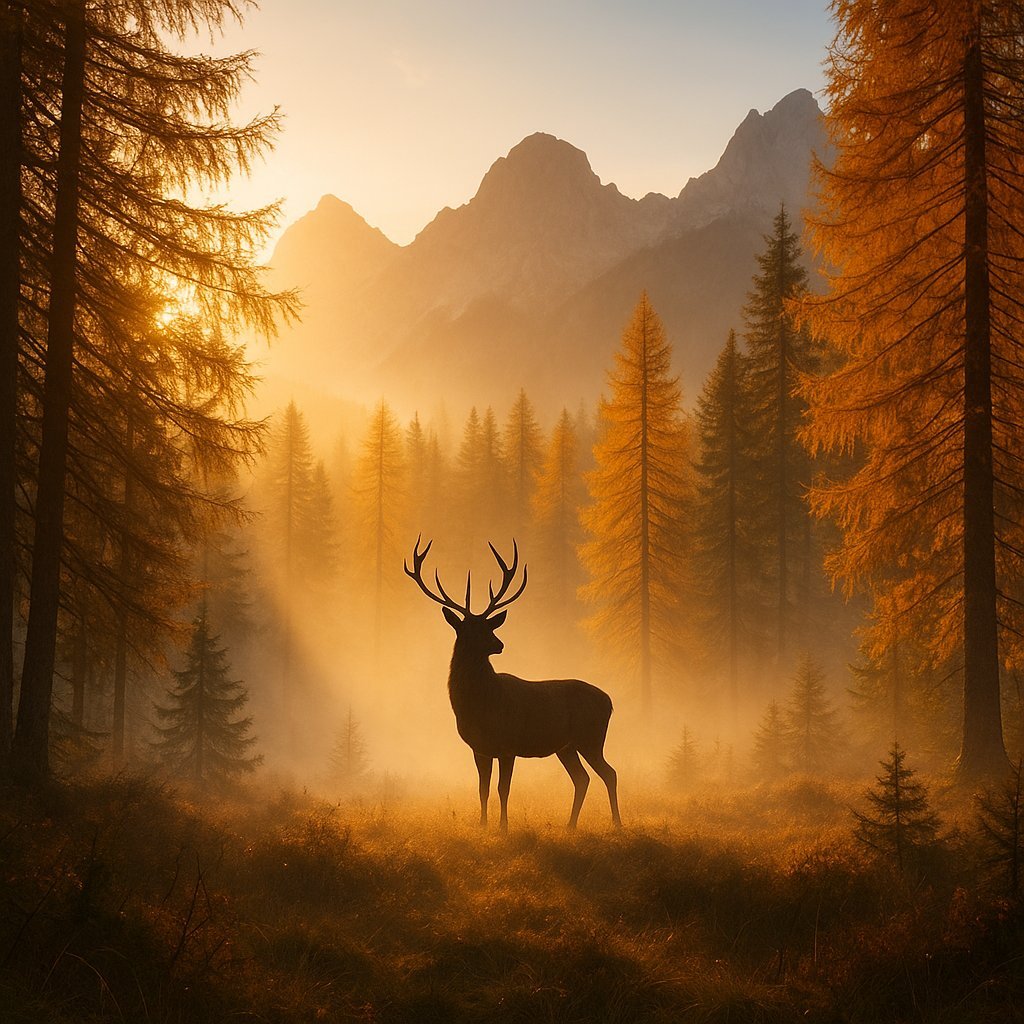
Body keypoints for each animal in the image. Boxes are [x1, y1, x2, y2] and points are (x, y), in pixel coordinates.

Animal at [405, 537, 621, 832]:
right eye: (470, 629)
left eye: (490, 626)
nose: (500, 644)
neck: (480, 705)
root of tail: (609, 701)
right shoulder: (479, 748)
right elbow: (483, 789)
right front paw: (483, 826)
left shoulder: (508, 745)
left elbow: (502, 789)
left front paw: (503, 827)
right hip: (566, 746)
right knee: (582, 778)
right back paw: (570, 825)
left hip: (590, 737)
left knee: (609, 773)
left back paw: (617, 823)